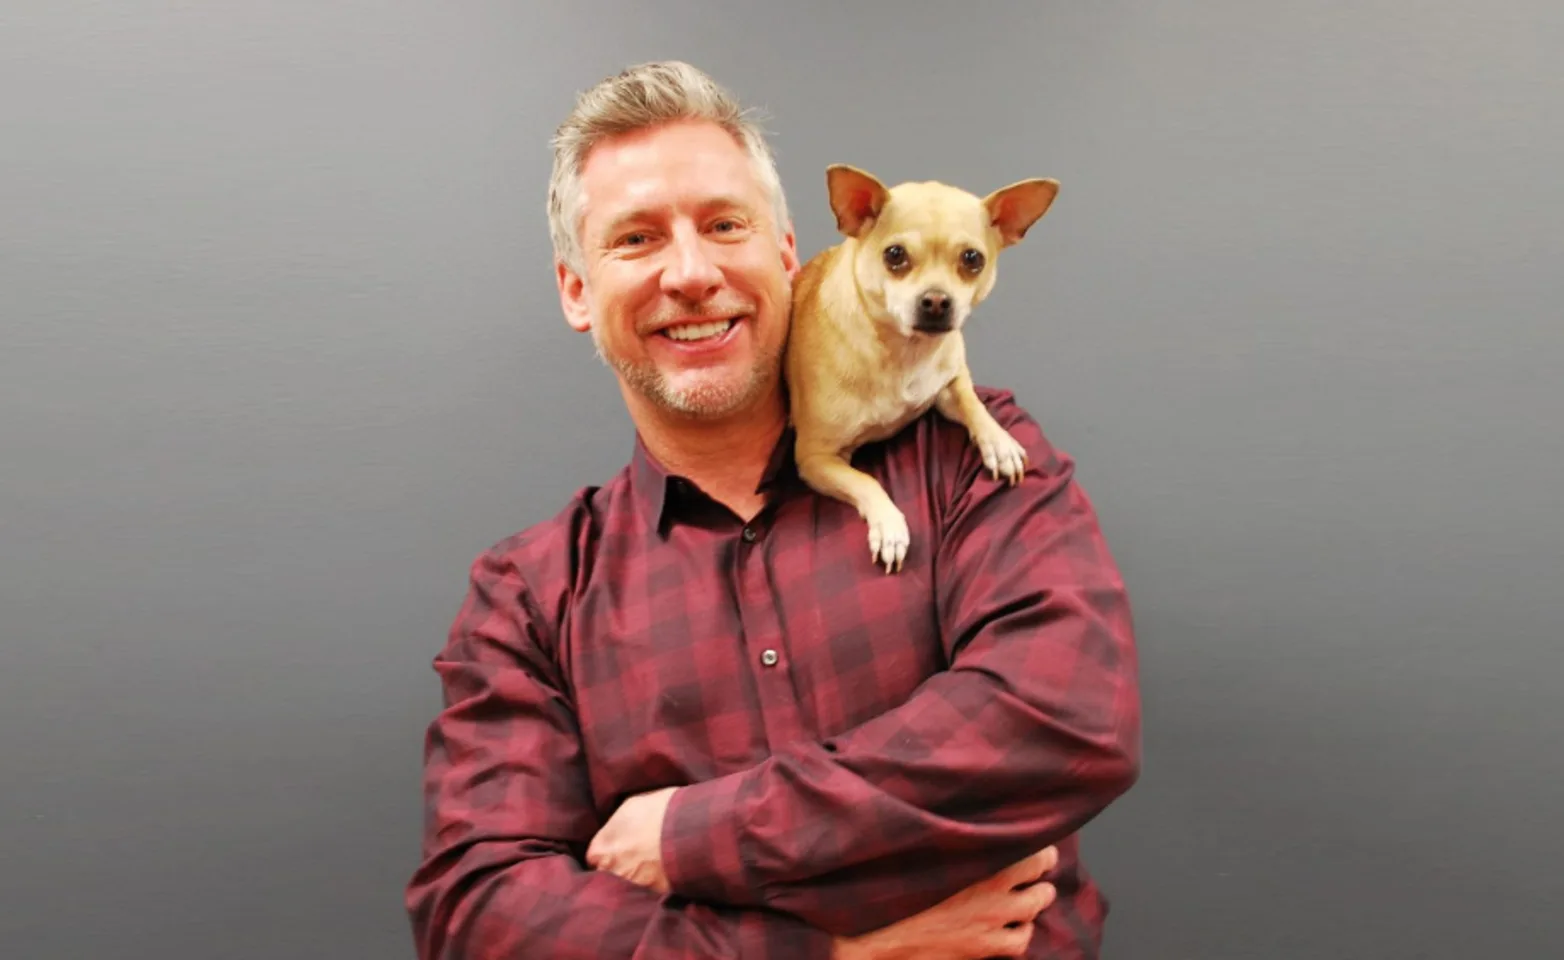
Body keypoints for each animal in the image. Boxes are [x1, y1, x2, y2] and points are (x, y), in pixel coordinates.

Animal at [788, 163, 1057, 572]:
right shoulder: (816, 459)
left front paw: (999, 442)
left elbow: (971, 400)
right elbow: (865, 481)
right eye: (895, 255)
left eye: (972, 259)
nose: (936, 301)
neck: (905, 353)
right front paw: (889, 526)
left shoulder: (946, 384)